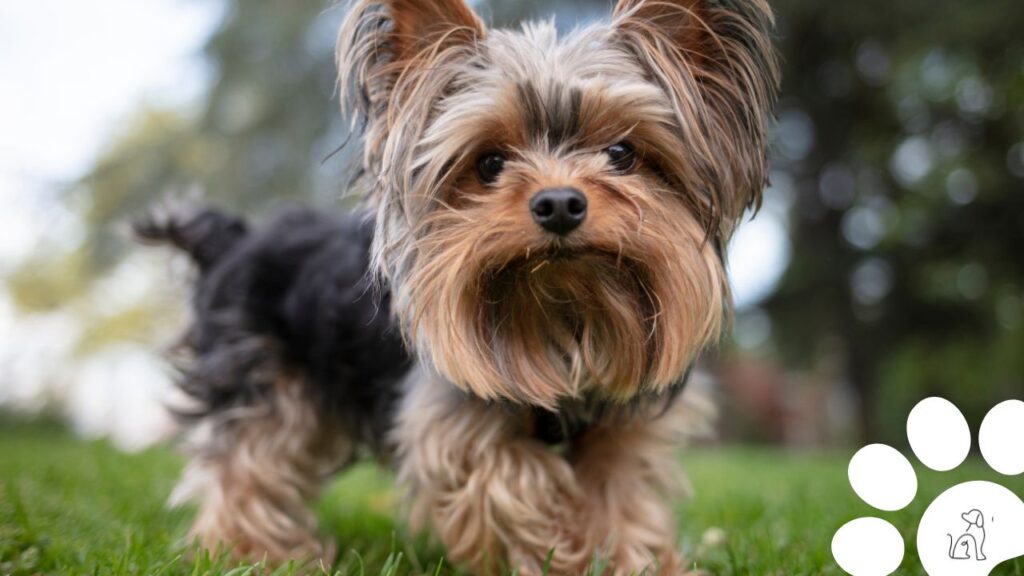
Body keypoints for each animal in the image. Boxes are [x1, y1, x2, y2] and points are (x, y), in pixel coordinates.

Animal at [142, 1, 774, 569]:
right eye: (490, 163)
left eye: (622, 153)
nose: (559, 203)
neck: (562, 311)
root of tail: (231, 238)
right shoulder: (450, 423)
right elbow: (512, 481)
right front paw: (558, 551)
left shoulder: (621, 427)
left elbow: (619, 496)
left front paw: (631, 559)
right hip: (259, 379)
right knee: (247, 463)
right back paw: (254, 552)